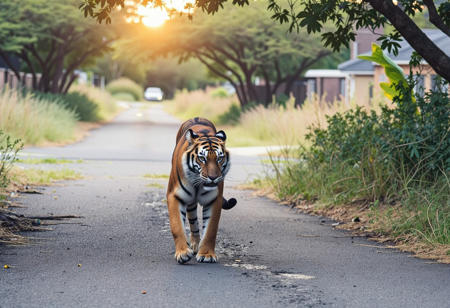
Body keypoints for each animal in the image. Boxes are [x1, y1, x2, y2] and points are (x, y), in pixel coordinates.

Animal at [165, 116, 236, 264]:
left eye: (220, 158)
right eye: (202, 158)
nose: (213, 177)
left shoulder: (214, 200)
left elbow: (210, 230)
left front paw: (207, 254)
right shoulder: (174, 195)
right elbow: (177, 226)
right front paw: (182, 253)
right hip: (190, 202)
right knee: (192, 221)